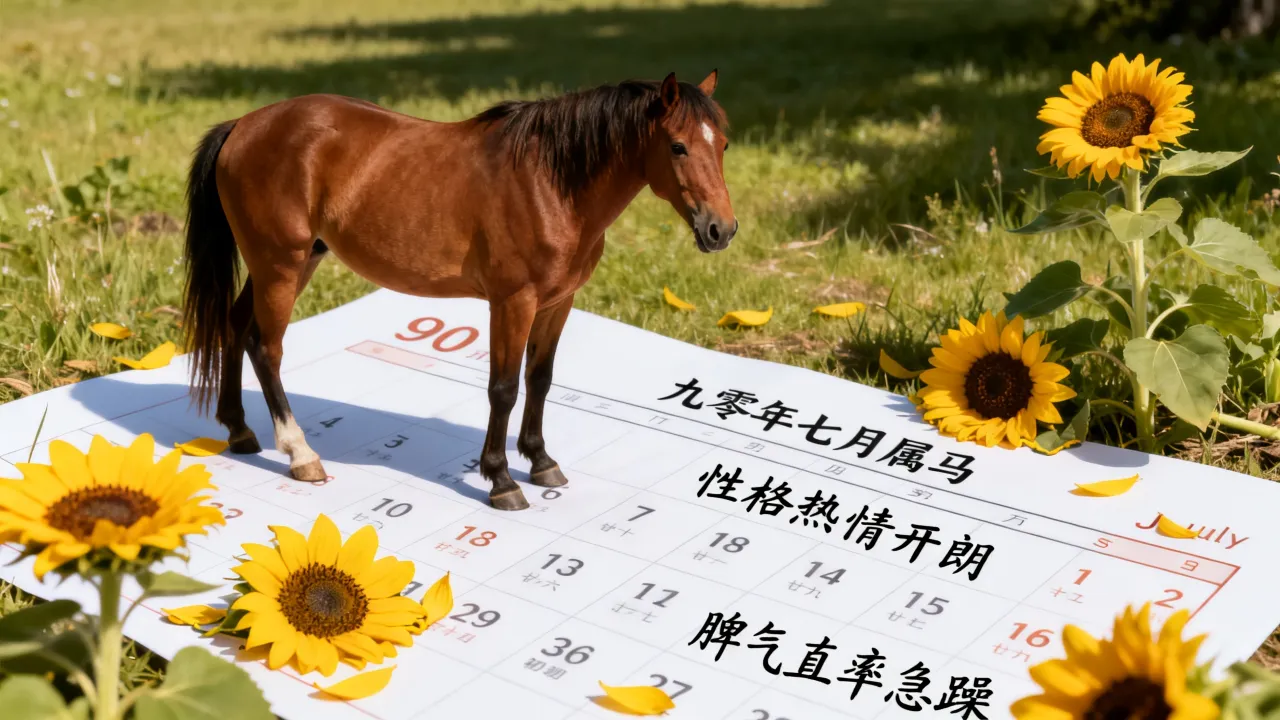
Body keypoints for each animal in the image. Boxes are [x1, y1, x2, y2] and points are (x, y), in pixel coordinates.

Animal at [181, 71, 736, 511]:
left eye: (724, 145)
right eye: (678, 146)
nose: (721, 230)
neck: (550, 184)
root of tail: (243, 125)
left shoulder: (558, 302)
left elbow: (540, 380)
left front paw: (540, 460)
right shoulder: (513, 302)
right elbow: (503, 388)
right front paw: (501, 479)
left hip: (287, 262)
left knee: (235, 327)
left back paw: (239, 430)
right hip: (280, 263)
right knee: (265, 346)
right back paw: (300, 454)